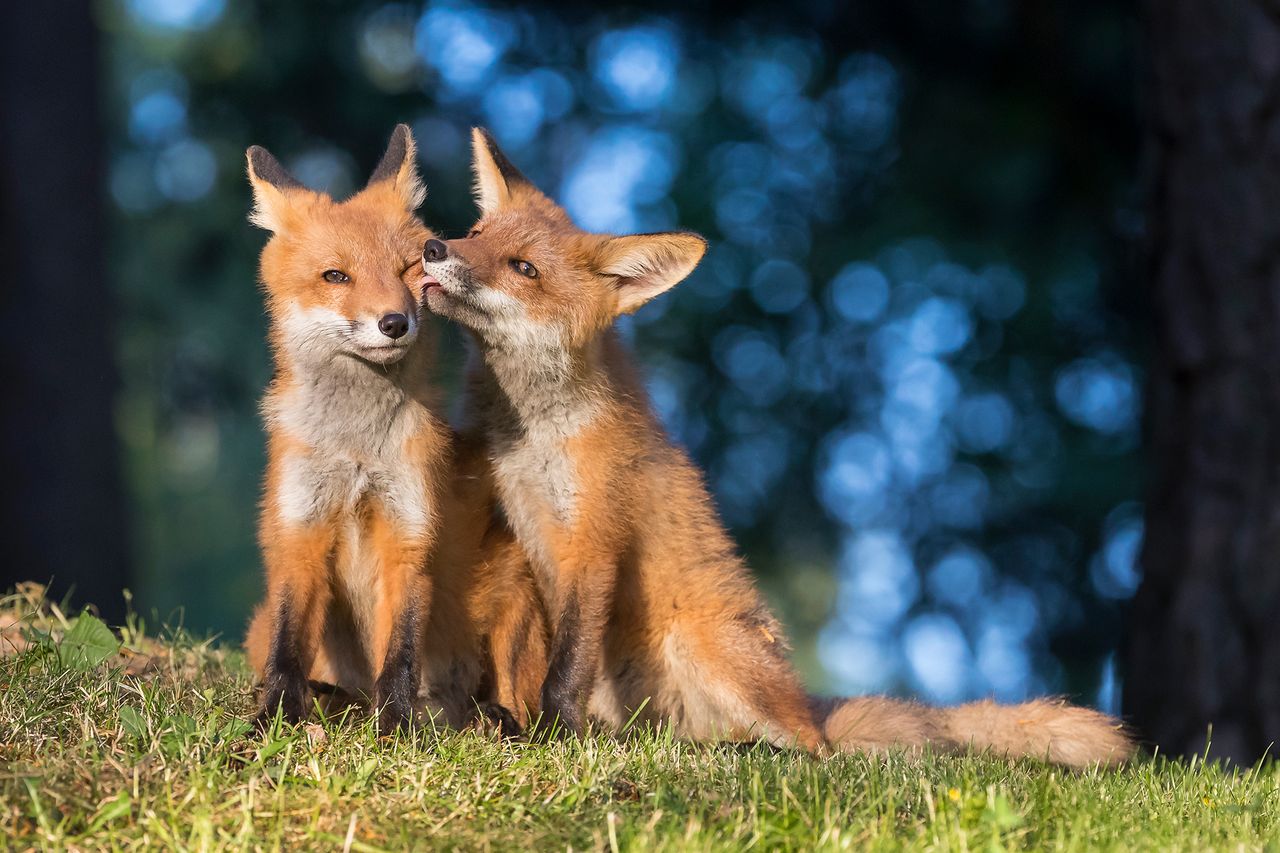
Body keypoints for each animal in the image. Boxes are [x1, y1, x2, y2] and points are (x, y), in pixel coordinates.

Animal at [240, 124, 545, 732]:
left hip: (514, 590)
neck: (357, 453)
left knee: (518, 705)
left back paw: (493, 719)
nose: (394, 322)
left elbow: (400, 650)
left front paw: (396, 727)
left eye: (408, 269)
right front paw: (277, 719)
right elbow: (287, 647)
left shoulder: (407, 530)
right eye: (336, 276)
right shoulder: (300, 529)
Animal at [417, 128, 1131, 768]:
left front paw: (554, 737)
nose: (430, 246)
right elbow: (524, 656)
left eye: (524, 268)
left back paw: (745, 750)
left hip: (702, 645)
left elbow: (565, 668)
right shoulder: (520, 534)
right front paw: (515, 723)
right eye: (476, 235)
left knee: (813, 750)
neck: (534, 437)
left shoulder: (593, 543)